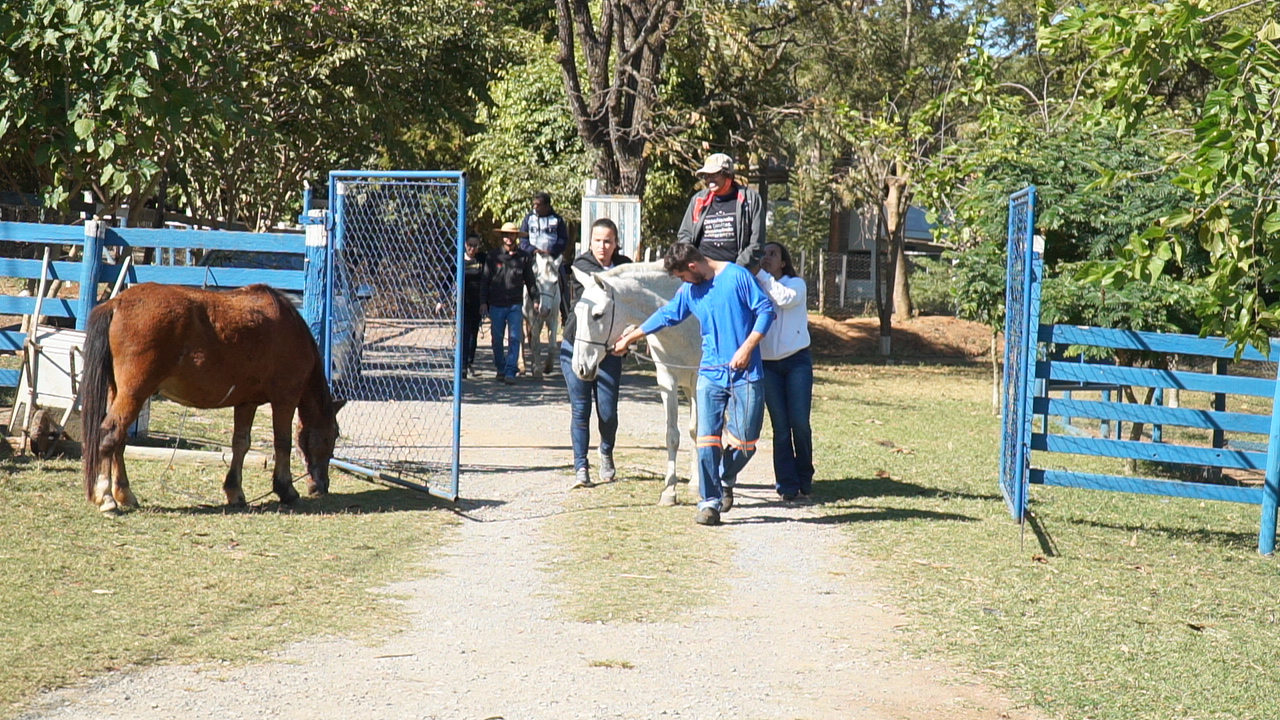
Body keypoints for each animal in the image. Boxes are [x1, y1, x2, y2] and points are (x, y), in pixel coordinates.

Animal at [79, 280, 340, 509]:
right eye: (333, 436)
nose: (322, 486)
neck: (290, 327)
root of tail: (118, 303)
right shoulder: (285, 399)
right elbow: (282, 443)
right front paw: (286, 489)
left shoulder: (247, 402)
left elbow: (241, 443)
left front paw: (234, 491)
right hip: (134, 394)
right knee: (109, 435)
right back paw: (106, 497)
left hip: (119, 393)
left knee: (119, 441)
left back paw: (124, 493)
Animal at [524, 251, 560, 379]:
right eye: (538, 280)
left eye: (555, 282)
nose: (544, 310)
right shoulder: (532, 319)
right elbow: (535, 344)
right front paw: (538, 370)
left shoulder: (553, 319)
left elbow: (552, 346)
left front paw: (547, 367)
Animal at [573, 260, 701, 502]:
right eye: (576, 312)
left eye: (598, 314)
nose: (580, 367)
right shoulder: (667, 379)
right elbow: (673, 435)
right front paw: (670, 491)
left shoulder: (700, 378)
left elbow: (701, 429)